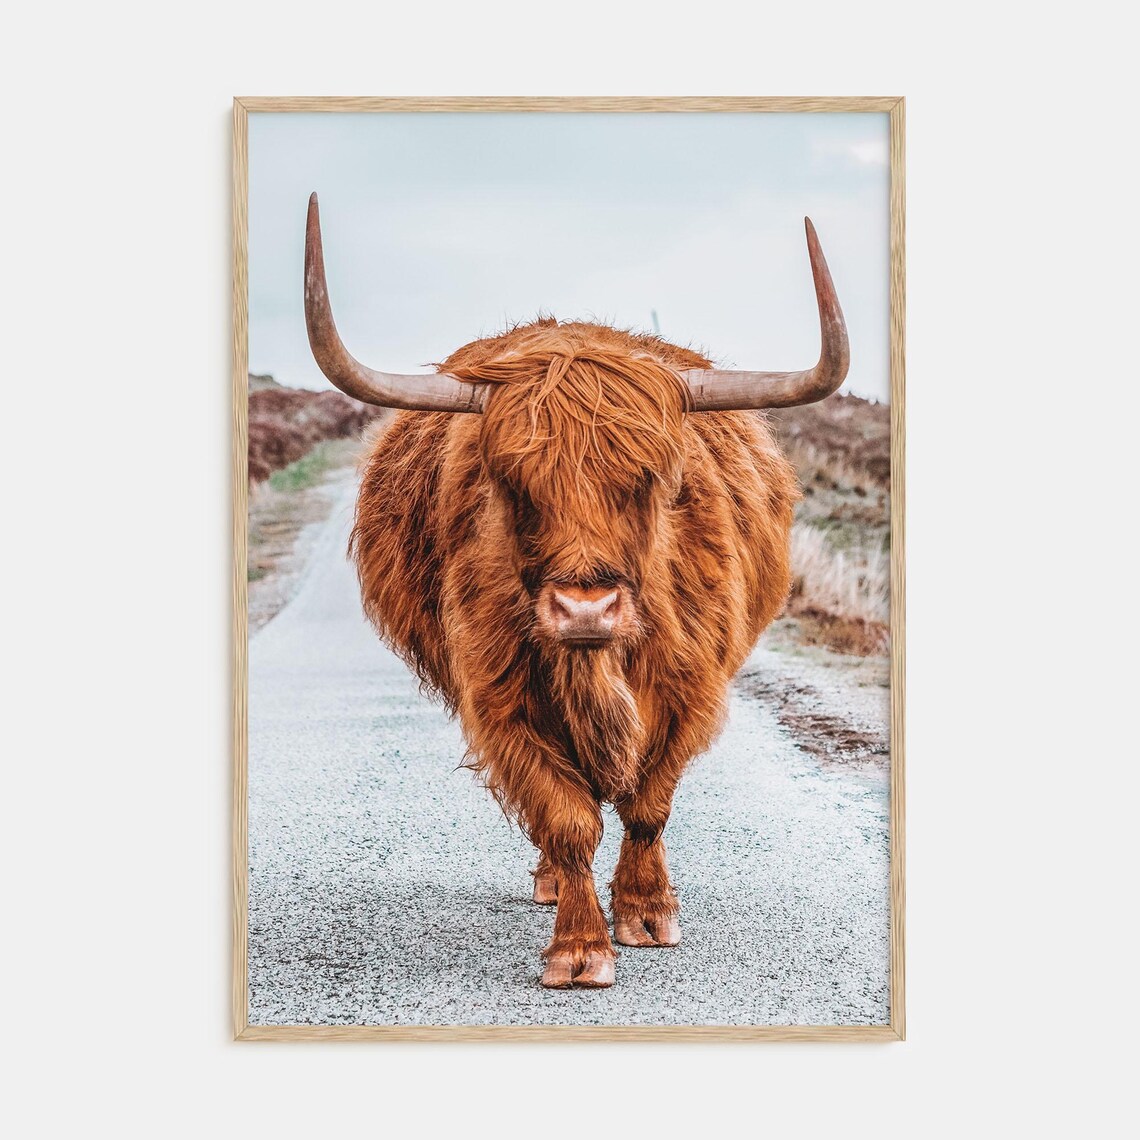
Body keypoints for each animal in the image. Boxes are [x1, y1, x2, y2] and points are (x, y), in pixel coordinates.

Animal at [302, 193, 849, 988]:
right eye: (510, 481)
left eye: (652, 477)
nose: (585, 608)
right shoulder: (502, 695)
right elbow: (565, 816)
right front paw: (580, 947)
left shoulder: (689, 687)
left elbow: (648, 804)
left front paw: (647, 914)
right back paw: (555, 882)